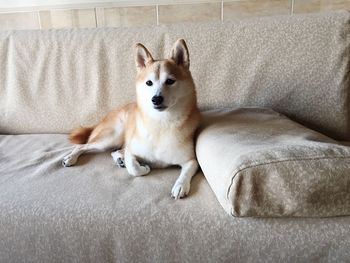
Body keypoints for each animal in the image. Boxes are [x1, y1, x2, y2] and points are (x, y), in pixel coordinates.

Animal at [61, 38, 201, 200]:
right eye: (149, 83)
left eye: (170, 81)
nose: (156, 99)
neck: (161, 122)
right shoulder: (132, 150)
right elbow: (133, 167)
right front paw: (143, 168)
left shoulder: (191, 160)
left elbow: (187, 170)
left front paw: (180, 185)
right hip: (111, 138)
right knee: (83, 146)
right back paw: (71, 158)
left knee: (114, 151)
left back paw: (119, 159)